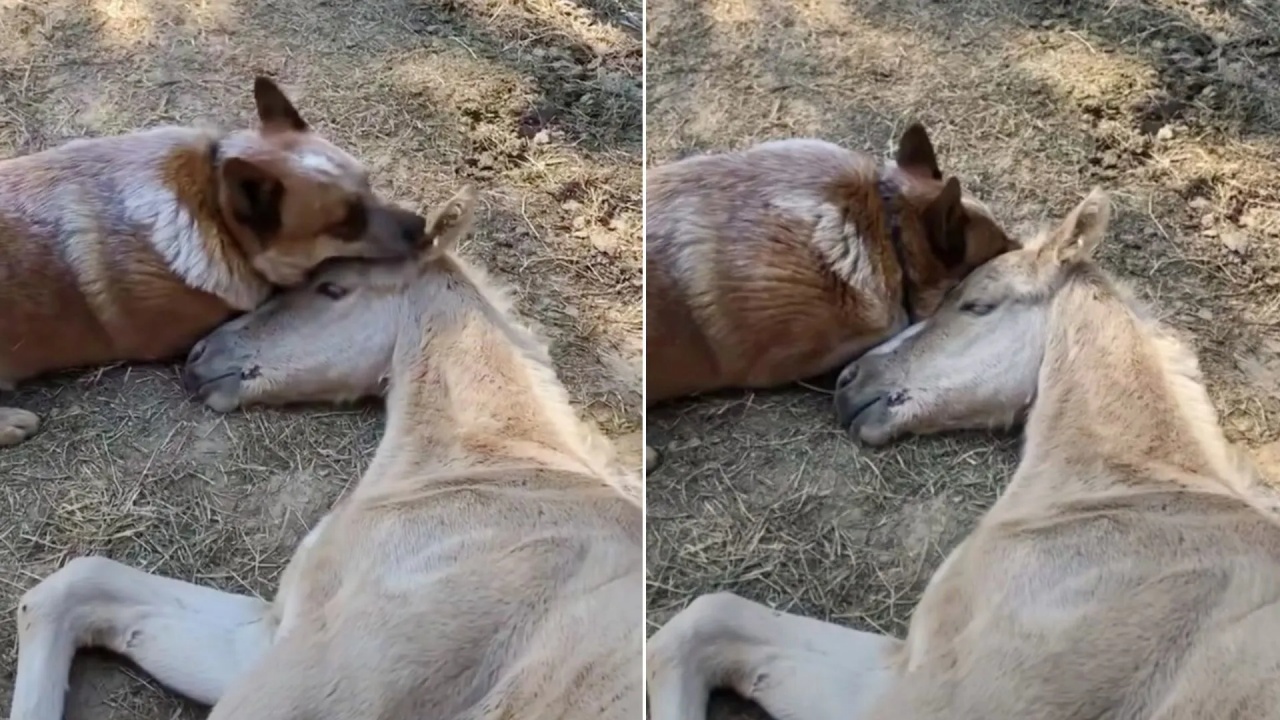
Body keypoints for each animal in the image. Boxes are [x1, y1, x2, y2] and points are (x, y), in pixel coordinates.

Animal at [12, 185, 640, 717]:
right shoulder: (270, 637)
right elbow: (74, 586)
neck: (496, 473)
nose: (199, 356)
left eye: (332, 288)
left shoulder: (317, 681)